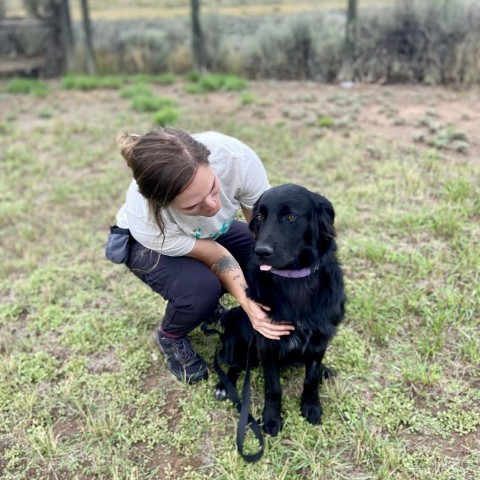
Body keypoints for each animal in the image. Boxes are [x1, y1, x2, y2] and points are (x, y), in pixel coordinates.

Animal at [215, 183, 344, 436]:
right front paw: (271, 418)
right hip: (235, 327)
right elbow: (273, 386)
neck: (294, 279)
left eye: (290, 217)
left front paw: (311, 406)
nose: (261, 252)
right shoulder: (267, 342)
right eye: (259, 217)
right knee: (235, 365)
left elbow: (310, 379)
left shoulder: (320, 338)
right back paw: (224, 386)